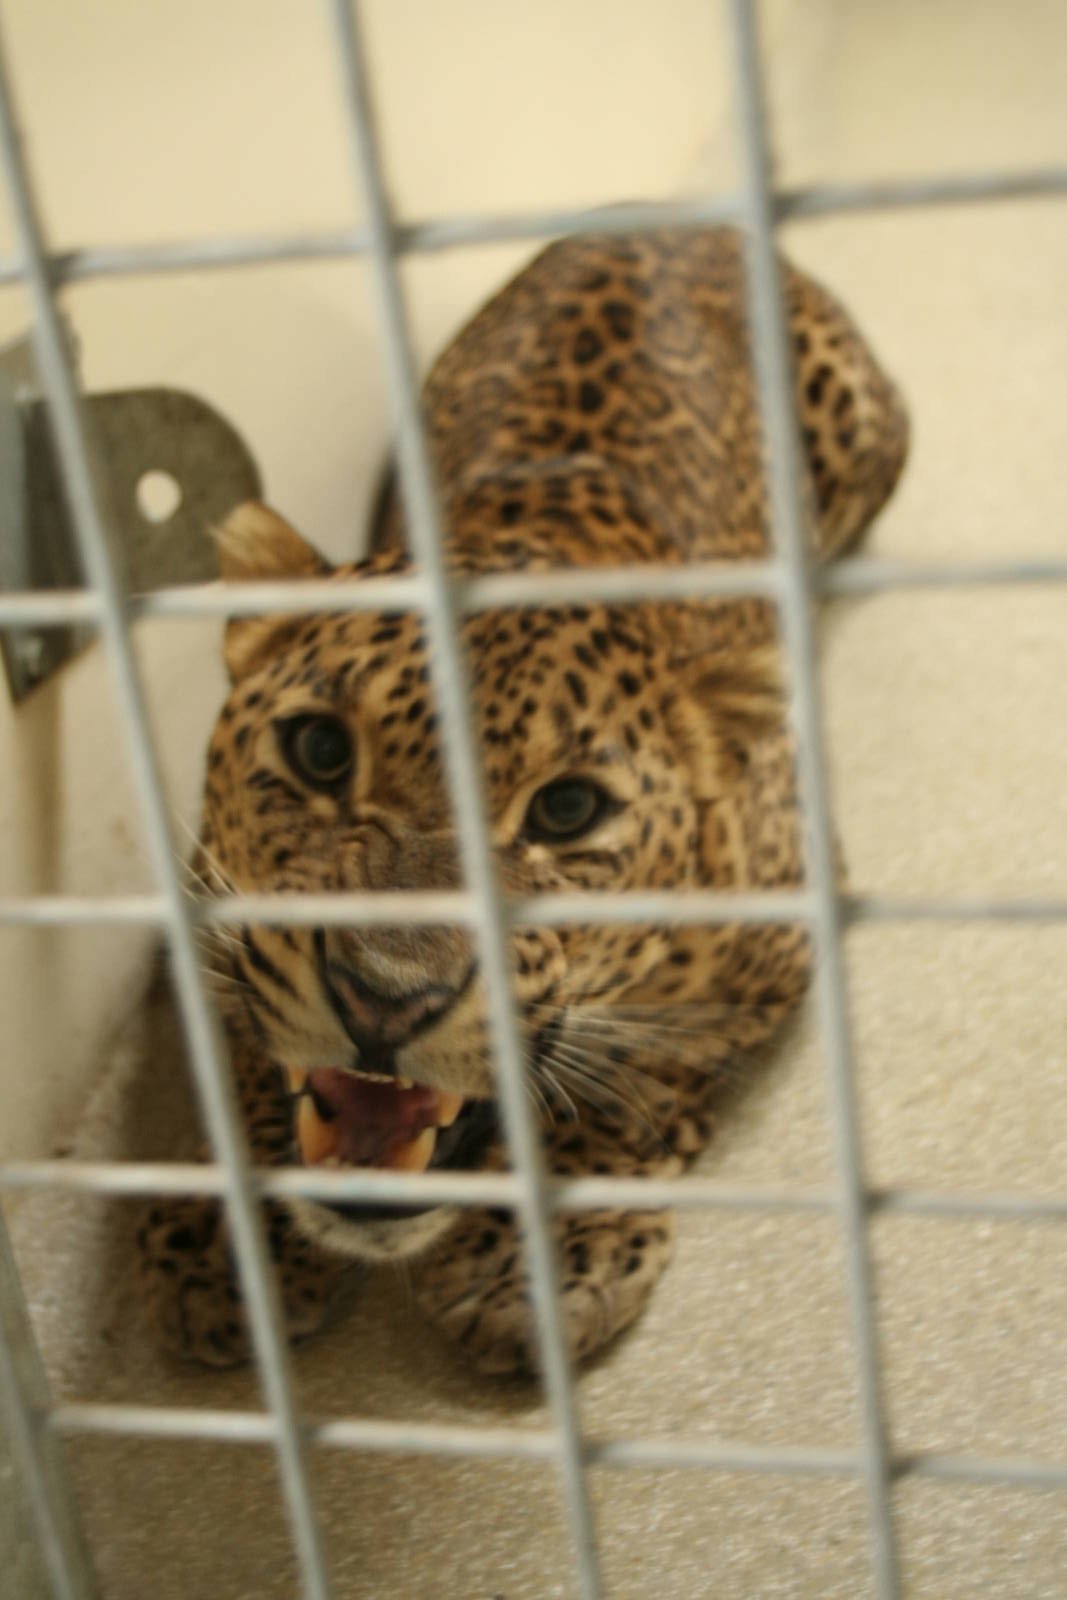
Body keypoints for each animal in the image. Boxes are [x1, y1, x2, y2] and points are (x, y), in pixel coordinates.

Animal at [137, 226, 907, 1375]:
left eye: (565, 812)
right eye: (320, 751)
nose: (383, 997)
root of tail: (676, 219)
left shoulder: (781, 924)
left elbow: (634, 1070)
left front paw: (534, 1255)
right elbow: (241, 1045)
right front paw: (231, 1235)